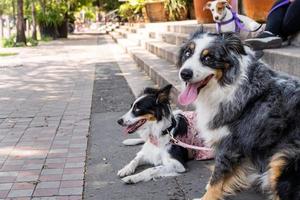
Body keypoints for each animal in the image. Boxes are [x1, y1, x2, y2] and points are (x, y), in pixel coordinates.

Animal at [178, 31, 300, 200]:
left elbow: (218, 175)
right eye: (188, 53)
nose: (184, 74)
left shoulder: (230, 143)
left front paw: (208, 196)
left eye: (208, 58)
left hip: (283, 159)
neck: (227, 86)